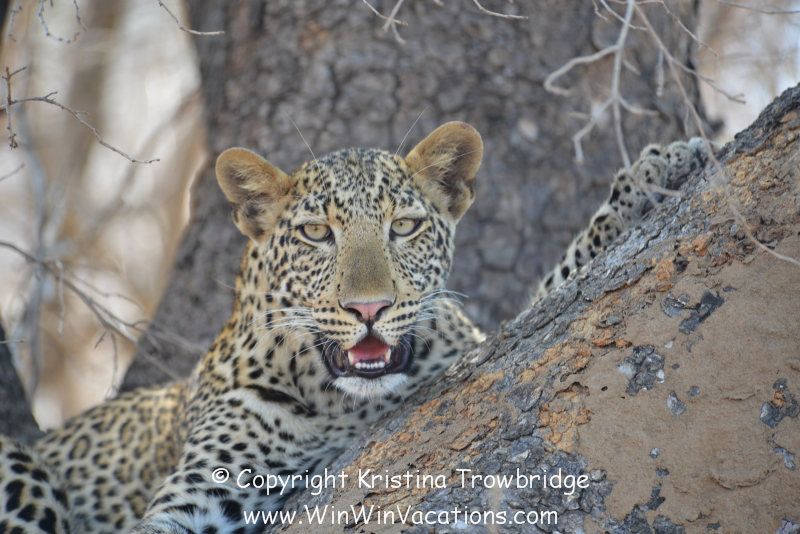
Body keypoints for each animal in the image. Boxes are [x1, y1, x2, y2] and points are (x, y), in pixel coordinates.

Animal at [0, 122, 707, 534]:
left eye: (406, 227)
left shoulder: (481, 349)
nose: (369, 308)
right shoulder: (200, 490)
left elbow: (557, 285)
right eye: (317, 233)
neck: (343, 402)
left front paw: (653, 175)